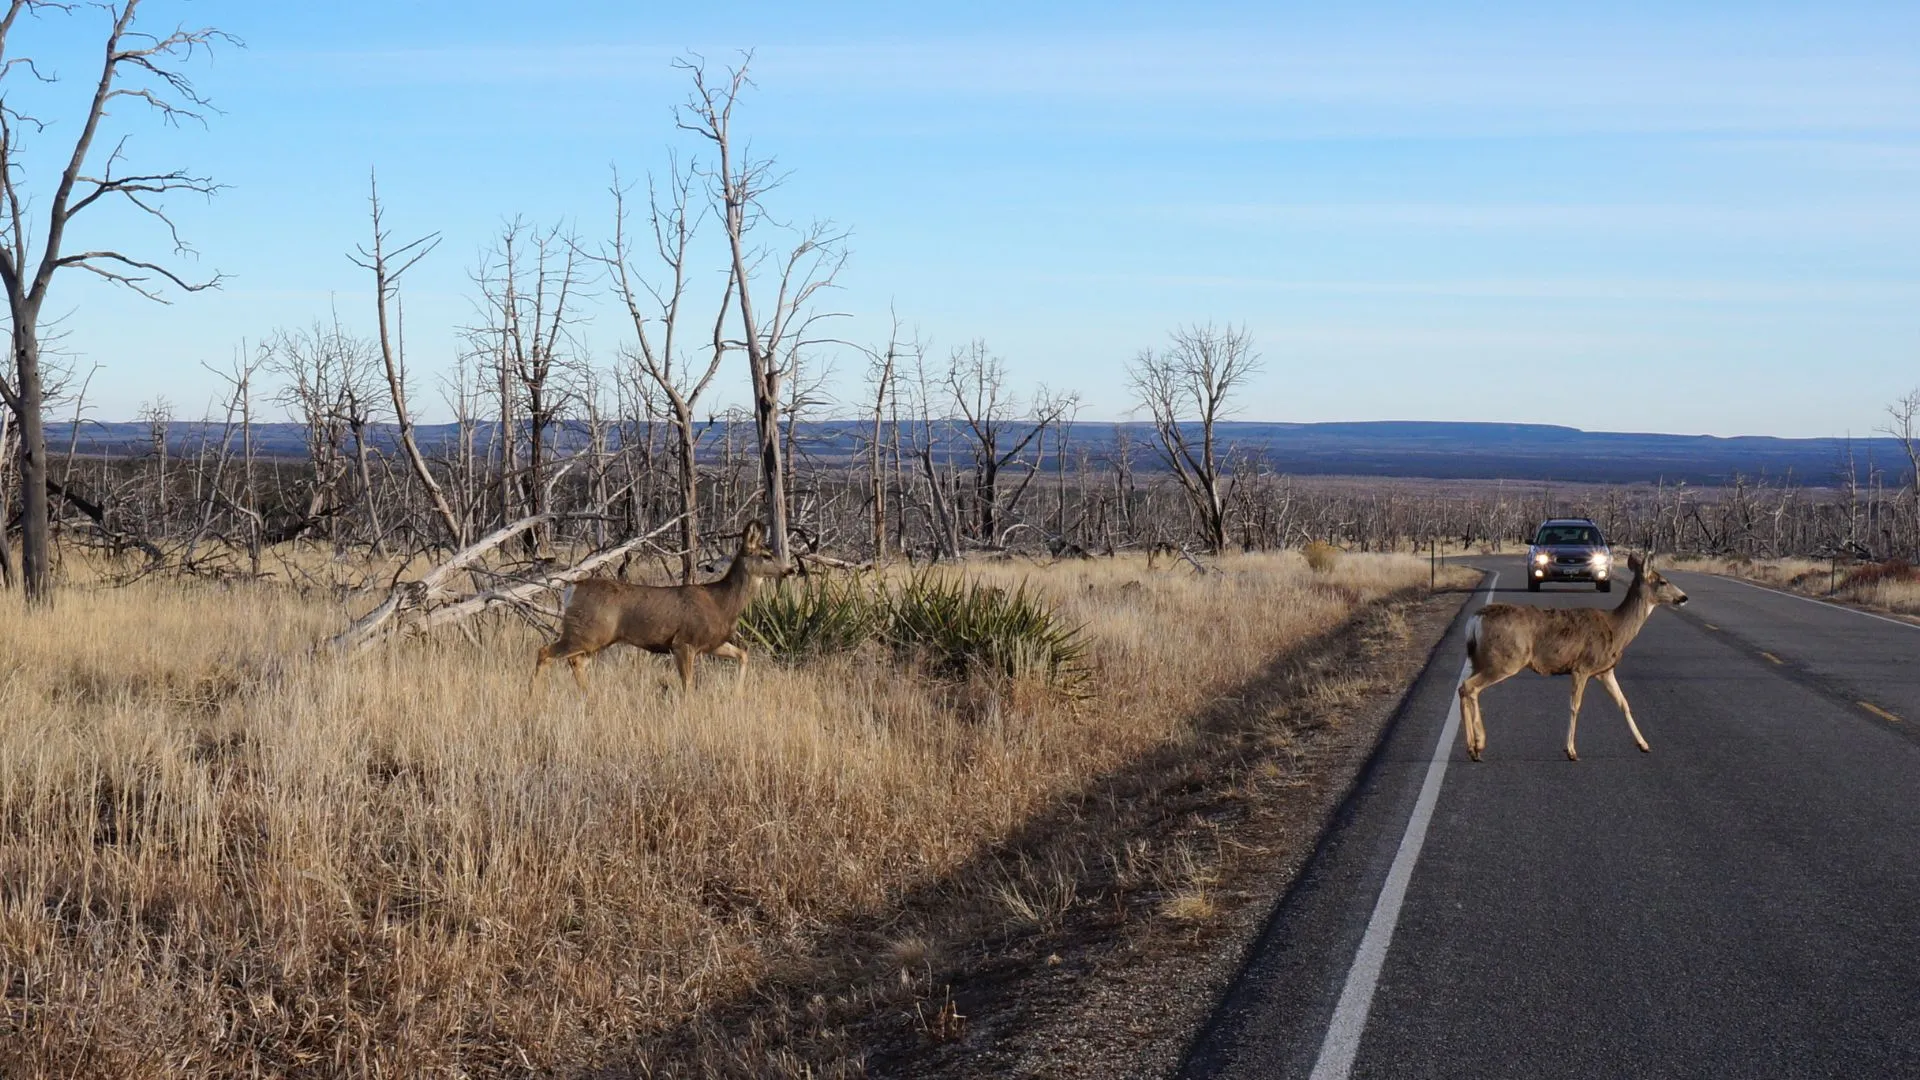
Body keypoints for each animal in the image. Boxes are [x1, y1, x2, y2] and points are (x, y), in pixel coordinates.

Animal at [533, 520, 786, 693]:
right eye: (766, 555)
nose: (790, 569)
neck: (722, 602)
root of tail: (571, 590)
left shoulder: (712, 643)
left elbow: (743, 655)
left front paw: (738, 694)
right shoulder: (684, 642)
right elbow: (687, 685)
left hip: (597, 638)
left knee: (575, 661)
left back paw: (588, 695)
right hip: (586, 632)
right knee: (545, 651)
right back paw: (534, 696)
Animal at [1458, 553, 1689, 762]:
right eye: (1663, 581)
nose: (1684, 597)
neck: (1616, 629)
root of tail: (1474, 620)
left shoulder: (1605, 671)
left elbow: (1623, 703)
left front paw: (1644, 744)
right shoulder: (1582, 666)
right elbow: (1575, 706)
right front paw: (1570, 751)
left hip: (1479, 660)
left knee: (1464, 688)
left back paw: (1474, 746)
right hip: (1506, 660)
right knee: (1470, 687)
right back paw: (1476, 747)